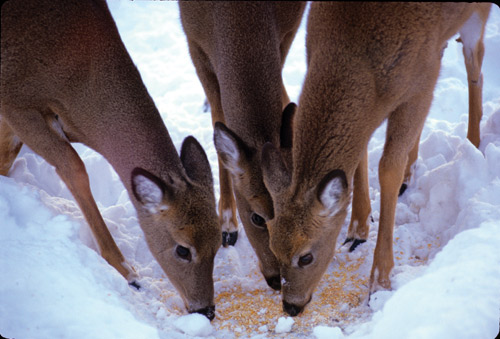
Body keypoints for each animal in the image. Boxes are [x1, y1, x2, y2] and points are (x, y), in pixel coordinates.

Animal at [1, 0, 221, 322]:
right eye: (183, 249)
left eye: (220, 243)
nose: (206, 310)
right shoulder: (14, 102)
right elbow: (74, 167)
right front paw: (128, 272)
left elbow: (6, 158)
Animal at [180, 1, 304, 290]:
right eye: (256, 217)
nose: (277, 279)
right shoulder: (195, 43)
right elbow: (219, 122)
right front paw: (226, 223)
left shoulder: (288, 28)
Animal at [262, 1, 492, 318]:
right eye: (273, 247)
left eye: (306, 257)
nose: (290, 306)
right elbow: (361, 156)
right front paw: (357, 230)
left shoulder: (422, 81)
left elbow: (387, 169)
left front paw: (379, 282)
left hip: (476, 17)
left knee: (475, 67)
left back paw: (473, 143)